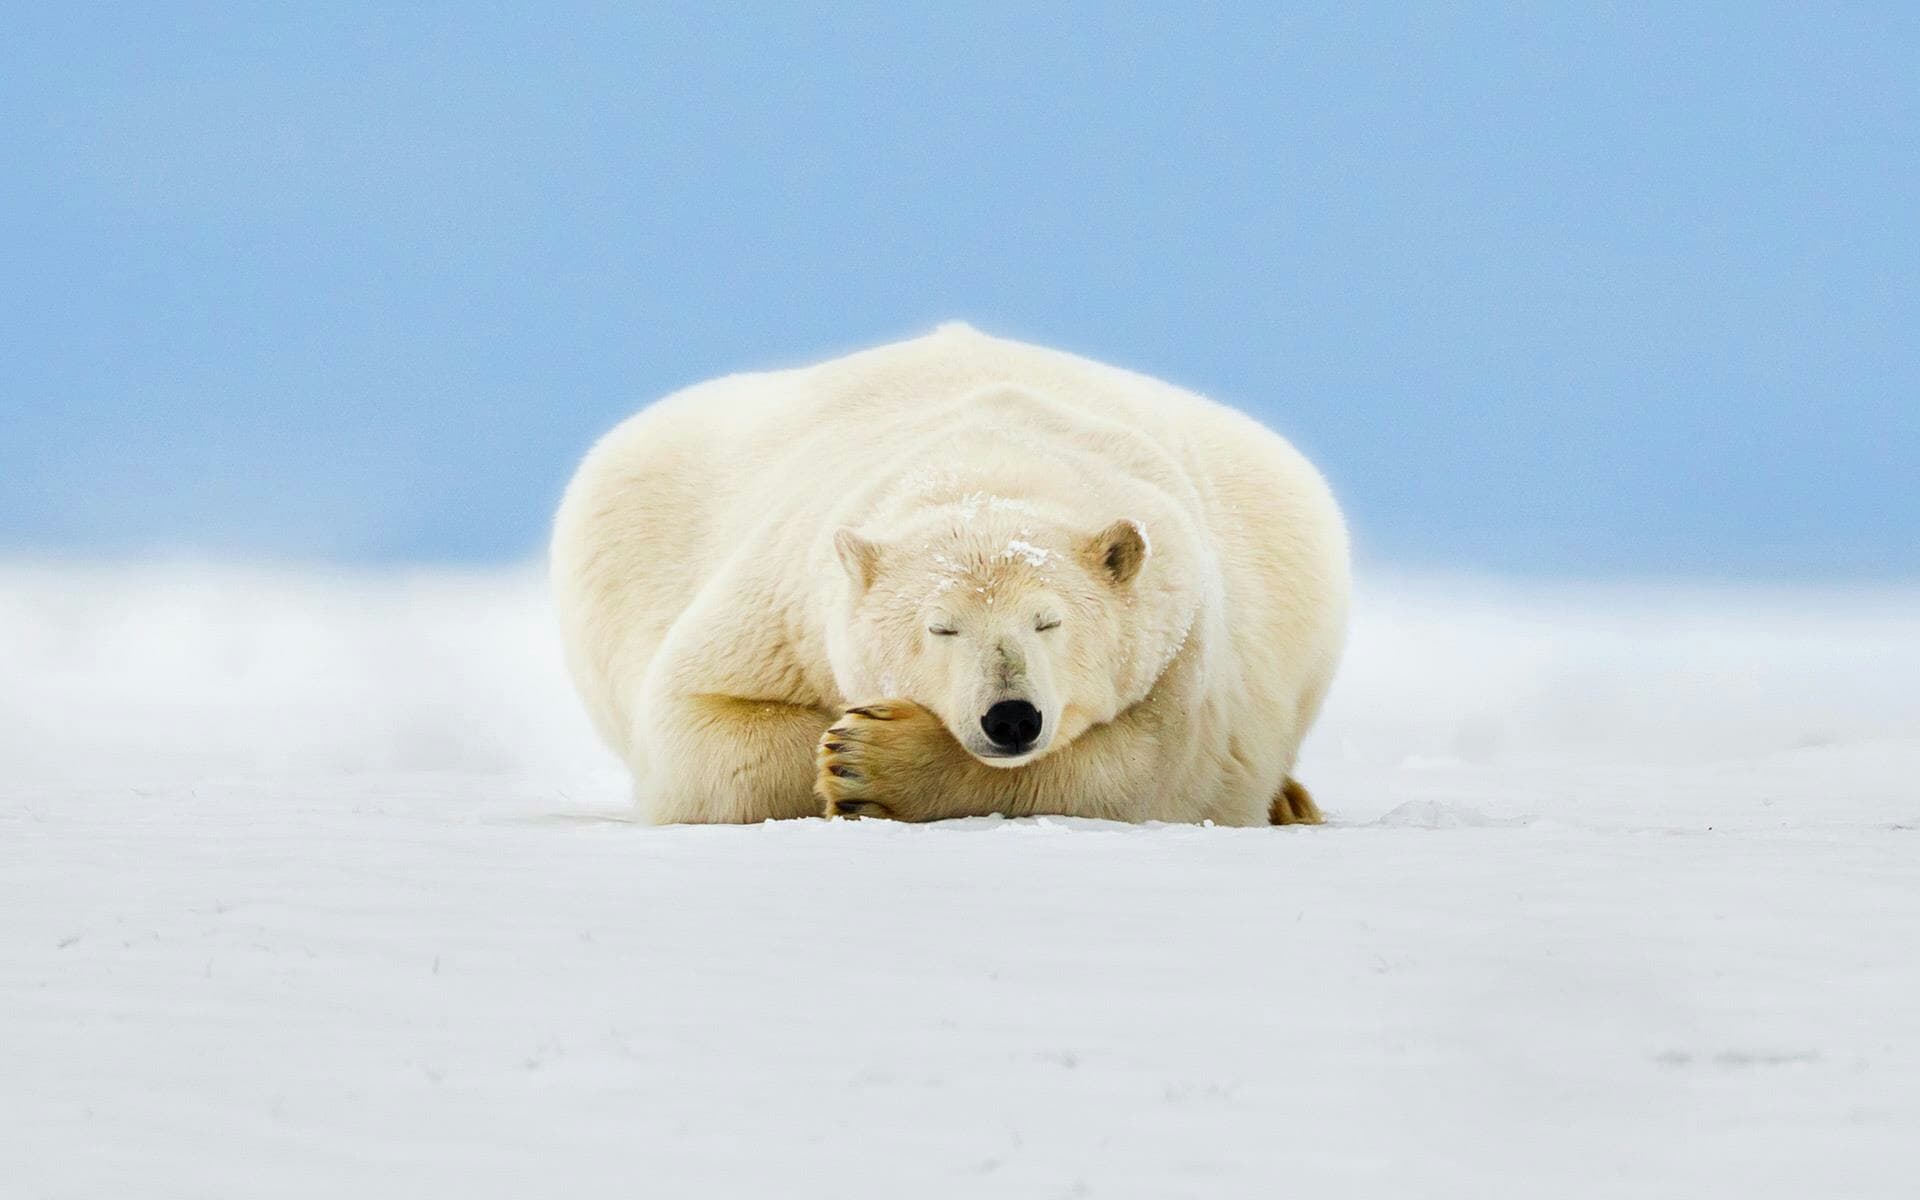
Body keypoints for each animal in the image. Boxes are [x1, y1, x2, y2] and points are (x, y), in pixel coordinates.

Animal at [549, 323, 1349, 826]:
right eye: (941, 627)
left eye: (1049, 621)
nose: (1011, 716)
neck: (991, 459)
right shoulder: (783, 606)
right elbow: (697, 726)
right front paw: (841, 745)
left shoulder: (1185, 637)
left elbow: (1153, 769)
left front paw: (874, 761)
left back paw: (1293, 802)